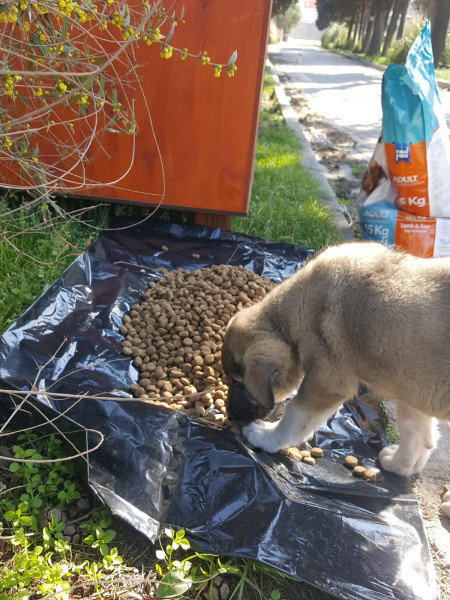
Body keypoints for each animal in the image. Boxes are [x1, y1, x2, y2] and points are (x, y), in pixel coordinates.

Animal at [222, 241, 450, 478]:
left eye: (241, 383)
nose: (230, 415)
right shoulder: (415, 392)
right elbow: (415, 431)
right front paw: (402, 465)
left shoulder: (327, 382)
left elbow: (294, 414)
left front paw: (267, 436)